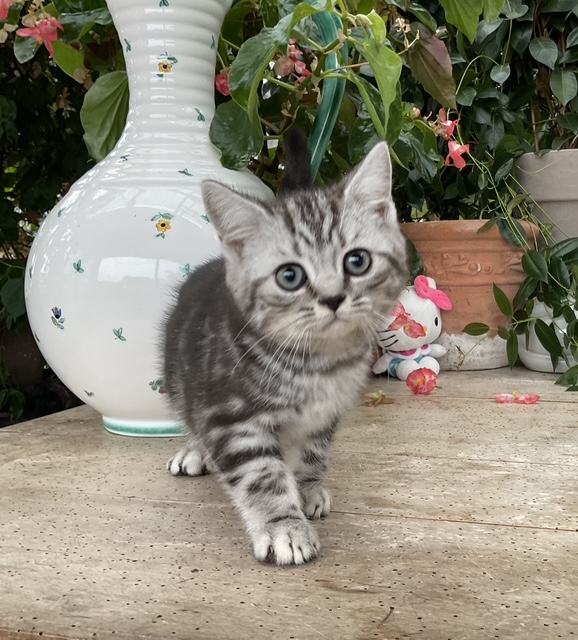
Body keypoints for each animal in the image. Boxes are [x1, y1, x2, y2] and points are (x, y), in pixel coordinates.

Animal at [162, 133, 407, 565]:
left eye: (357, 261)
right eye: (290, 276)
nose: (333, 298)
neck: (320, 363)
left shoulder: (327, 414)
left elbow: (313, 452)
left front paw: (307, 487)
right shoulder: (232, 417)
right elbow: (262, 475)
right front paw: (284, 528)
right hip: (181, 375)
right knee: (187, 411)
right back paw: (193, 451)